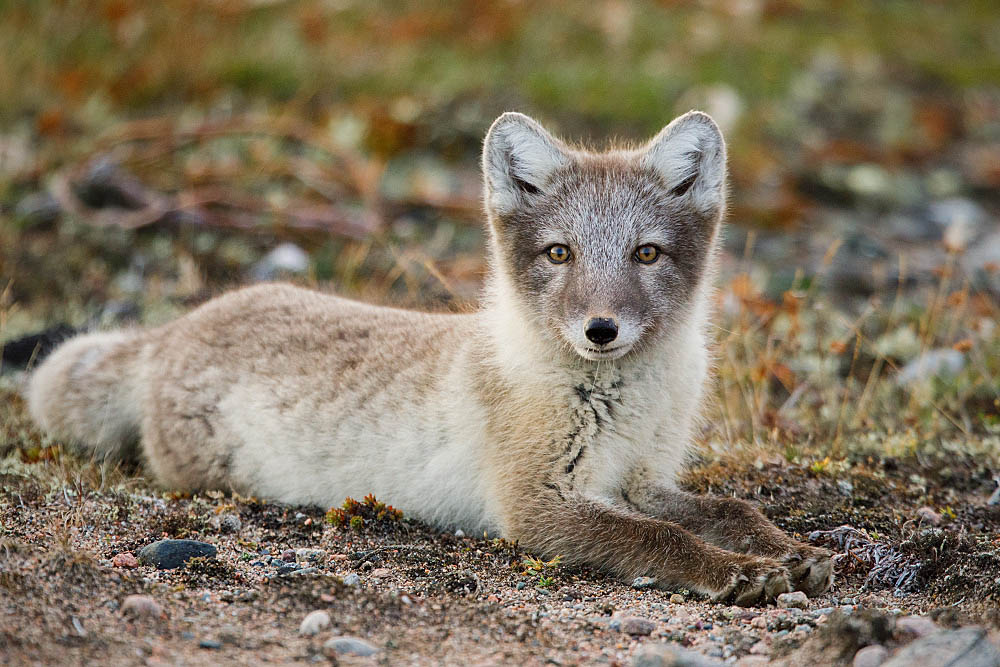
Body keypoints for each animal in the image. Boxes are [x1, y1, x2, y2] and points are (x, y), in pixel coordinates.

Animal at [27, 113, 832, 604]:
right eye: (559, 253)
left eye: (647, 254)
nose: (600, 329)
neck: (626, 399)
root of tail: (174, 330)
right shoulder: (537, 502)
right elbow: (656, 536)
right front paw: (735, 572)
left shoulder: (642, 475)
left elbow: (726, 507)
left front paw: (786, 550)